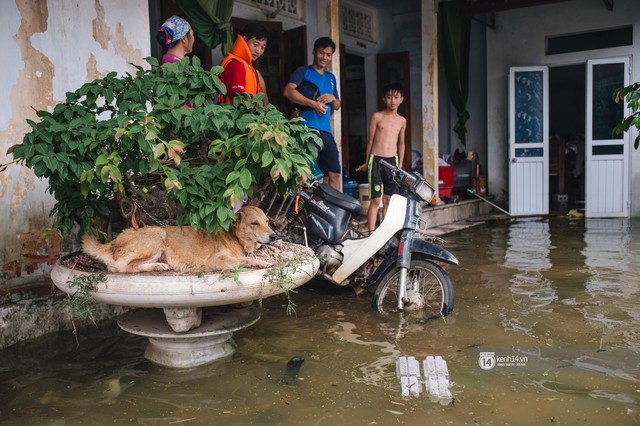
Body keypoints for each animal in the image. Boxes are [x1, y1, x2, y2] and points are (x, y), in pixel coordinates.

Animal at [81, 206, 276, 272]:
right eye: (254, 223)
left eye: (267, 221)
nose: (274, 236)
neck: (233, 237)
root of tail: (112, 243)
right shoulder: (217, 260)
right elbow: (244, 260)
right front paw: (262, 263)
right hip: (158, 234)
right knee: (127, 267)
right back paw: (158, 266)